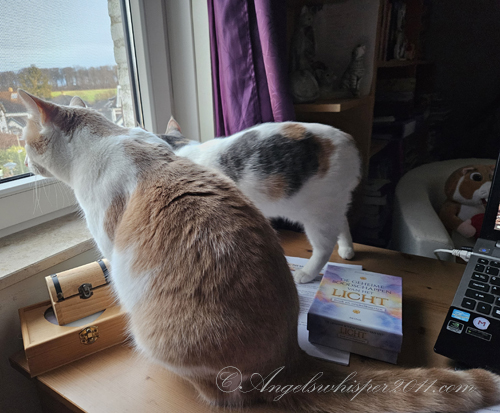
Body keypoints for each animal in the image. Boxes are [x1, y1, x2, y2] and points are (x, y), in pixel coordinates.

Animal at [158, 118, 359, 284]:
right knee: (343, 222)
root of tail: (349, 140)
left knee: (324, 247)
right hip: (331, 205)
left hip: (317, 213)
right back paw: (347, 249)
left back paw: (306, 273)